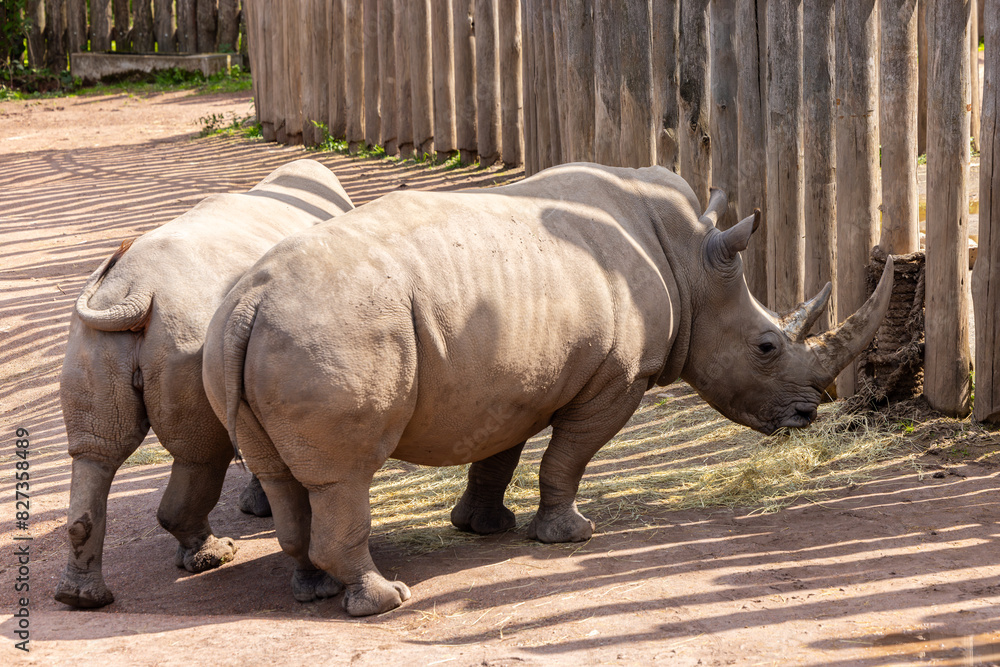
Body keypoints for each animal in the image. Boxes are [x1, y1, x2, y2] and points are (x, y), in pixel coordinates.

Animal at [56, 159, 354, 608]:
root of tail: (134, 291)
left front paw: (257, 506)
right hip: (186, 332)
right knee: (202, 454)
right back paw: (216, 556)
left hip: (96, 338)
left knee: (97, 453)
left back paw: (82, 598)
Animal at [201, 162, 892, 616]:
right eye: (766, 347)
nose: (807, 414)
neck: (689, 265)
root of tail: (252, 301)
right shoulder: (619, 377)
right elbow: (569, 457)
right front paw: (569, 536)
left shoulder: (503, 381)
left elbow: (497, 455)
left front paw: (485, 526)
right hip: (337, 330)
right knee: (343, 477)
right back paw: (385, 601)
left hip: (246, 335)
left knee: (284, 477)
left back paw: (313, 589)